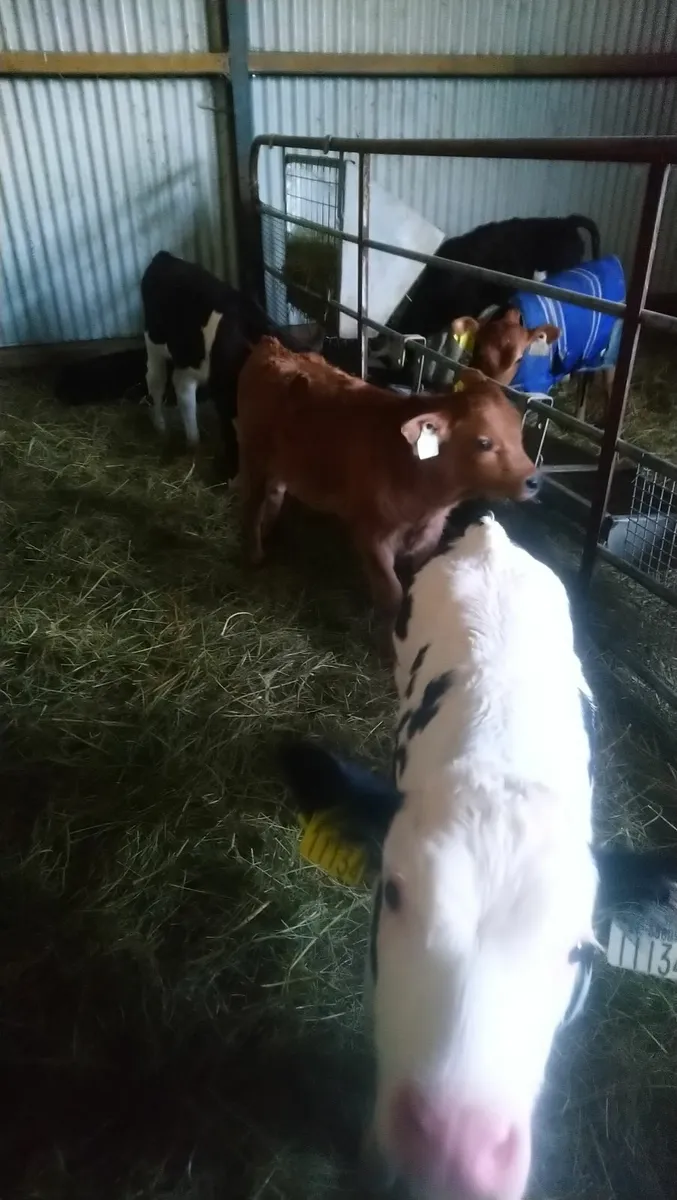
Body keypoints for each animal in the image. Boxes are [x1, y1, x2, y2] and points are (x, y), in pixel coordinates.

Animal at [236, 339, 539, 616]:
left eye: (519, 434)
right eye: (484, 443)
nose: (533, 480)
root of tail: (274, 345)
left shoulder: (430, 535)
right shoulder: (372, 536)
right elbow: (391, 593)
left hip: (281, 462)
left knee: (275, 492)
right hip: (253, 455)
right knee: (251, 504)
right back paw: (255, 554)